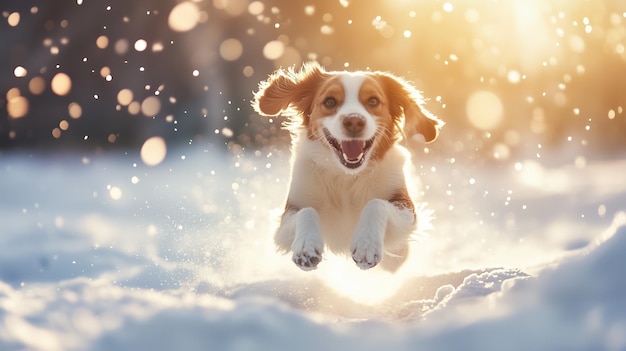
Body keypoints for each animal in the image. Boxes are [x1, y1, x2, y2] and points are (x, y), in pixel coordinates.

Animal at [251, 62, 442, 272]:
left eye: (373, 101)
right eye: (330, 102)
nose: (354, 120)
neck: (346, 177)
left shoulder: (406, 208)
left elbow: (376, 204)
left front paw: (367, 246)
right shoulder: (288, 215)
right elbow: (307, 211)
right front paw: (306, 248)